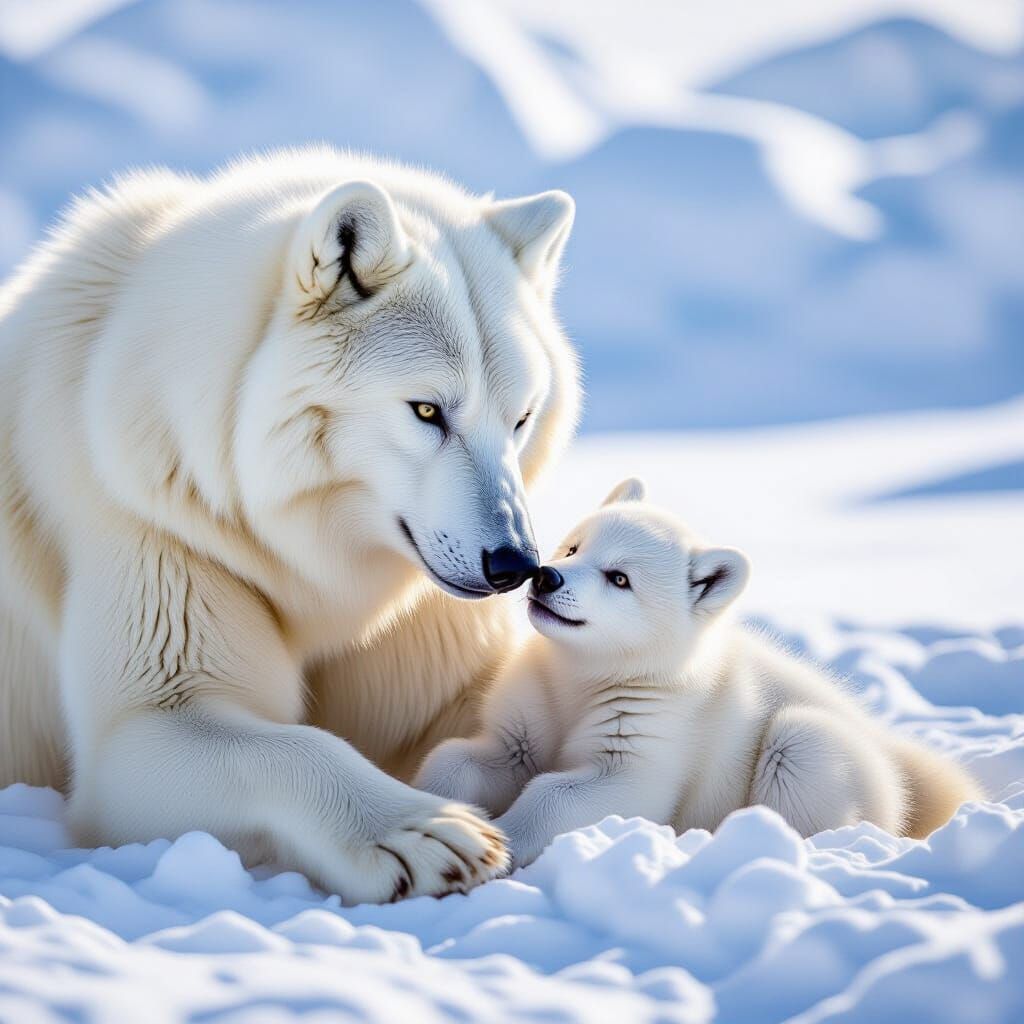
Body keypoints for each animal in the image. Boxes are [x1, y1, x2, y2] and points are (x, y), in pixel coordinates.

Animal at [0, 147, 579, 902]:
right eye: (427, 410)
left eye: (520, 418)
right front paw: (418, 832)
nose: (515, 565)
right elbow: (288, 744)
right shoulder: (149, 543)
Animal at [416, 479, 982, 866]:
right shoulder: (536, 700)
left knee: (801, 753)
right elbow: (479, 756)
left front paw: (506, 840)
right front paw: (439, 808)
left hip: (814, 746)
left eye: (619, 578)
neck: (585, 676)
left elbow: (593, 788)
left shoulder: (651, 726)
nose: (546, 576)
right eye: (575, 546)